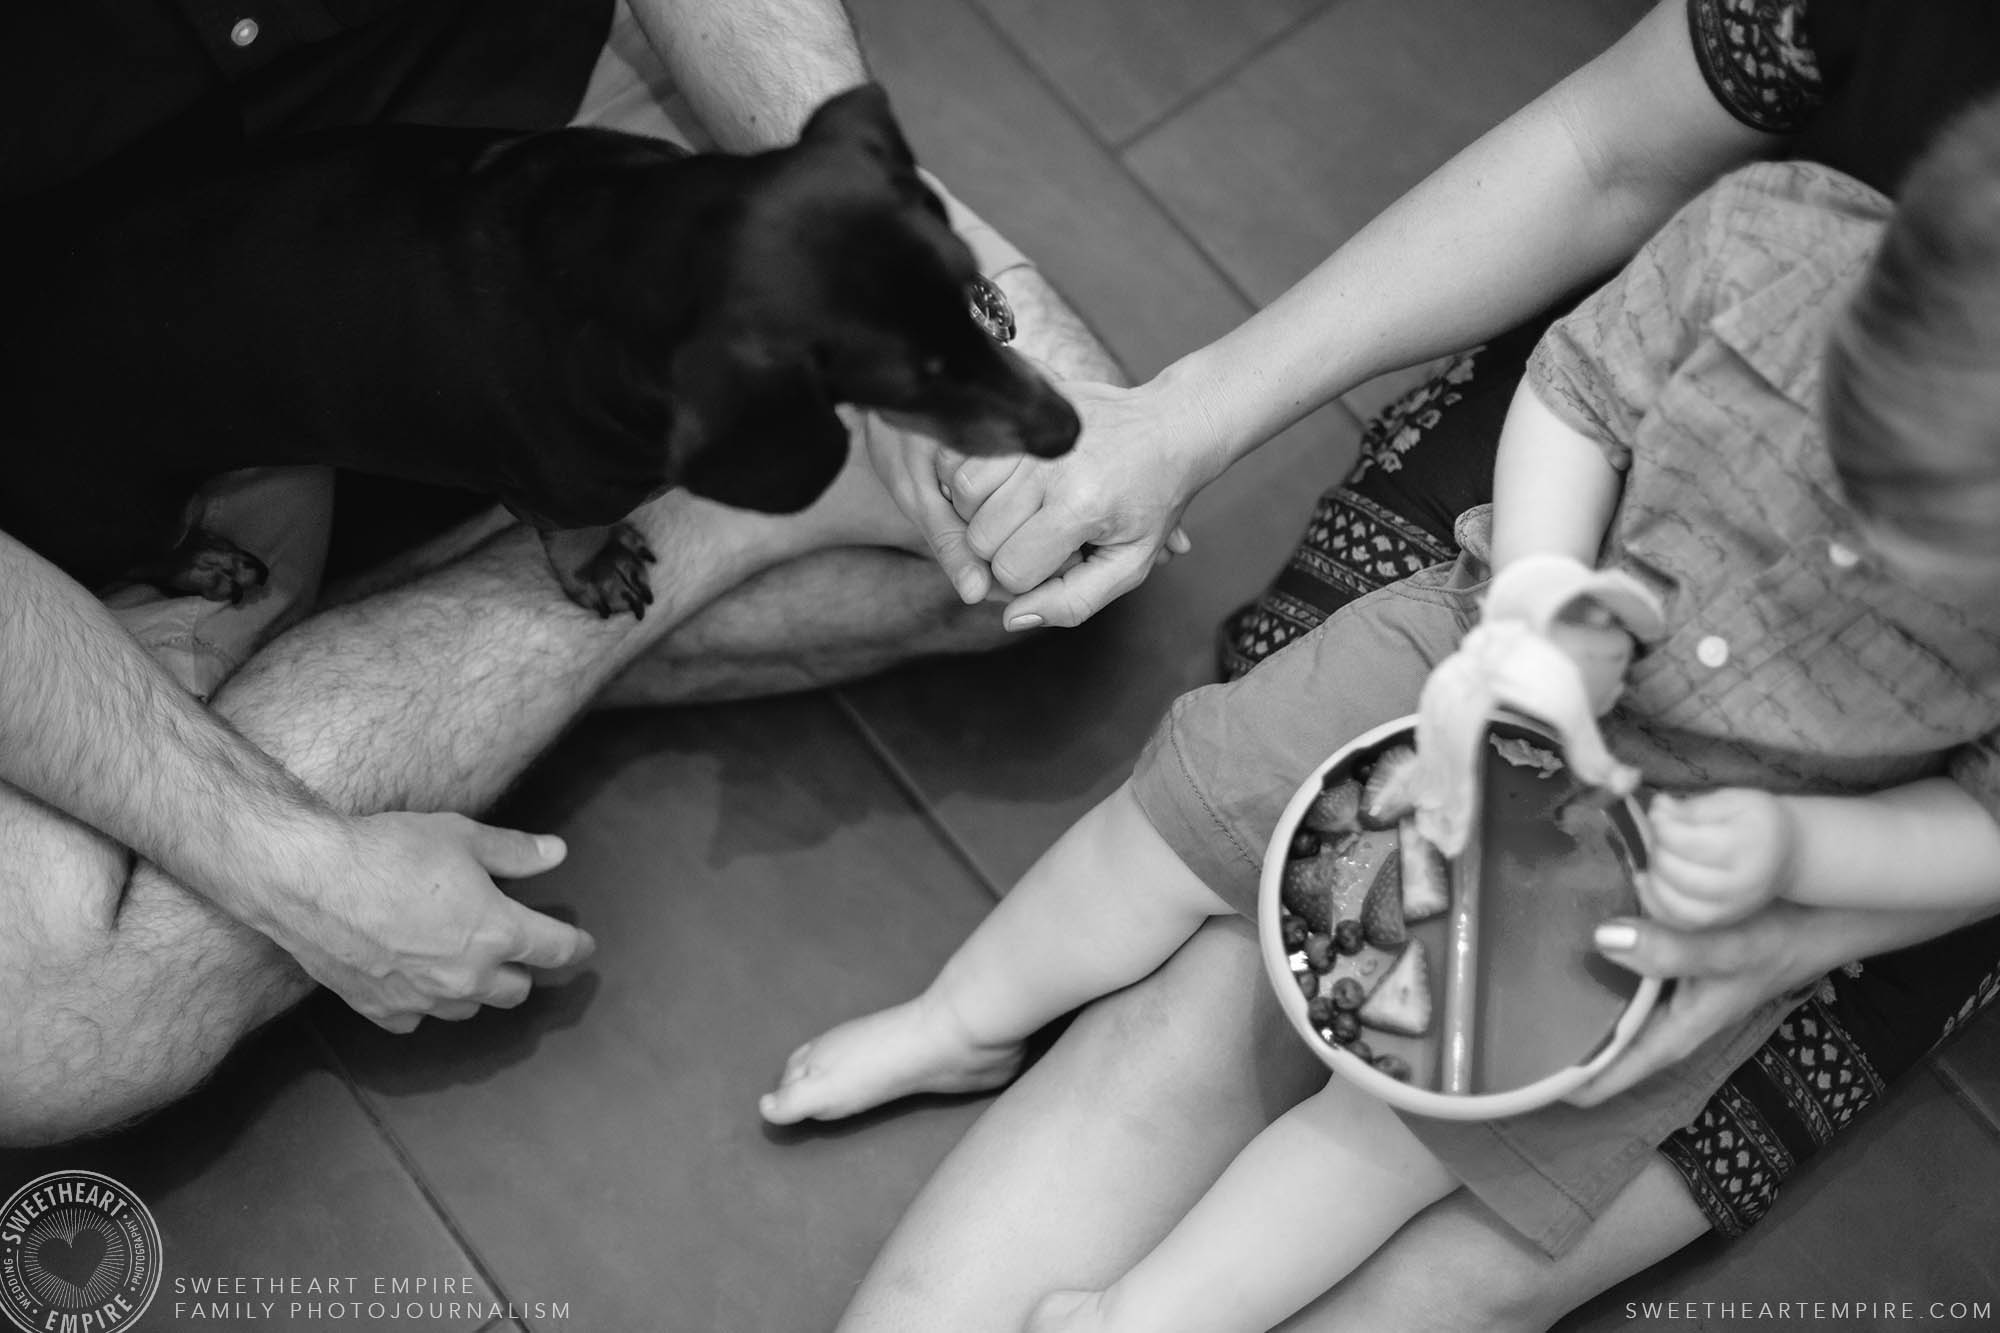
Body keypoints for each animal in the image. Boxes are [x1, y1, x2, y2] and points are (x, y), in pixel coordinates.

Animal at [3, 85, 1080, 616]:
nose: (1066, 429)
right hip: (116, 501)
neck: (614, 247)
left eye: (970, 292)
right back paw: (206, 565)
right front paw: (599, 570)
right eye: (908, 377)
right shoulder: (565, 488)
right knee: (140, 555)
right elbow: (574, 532)